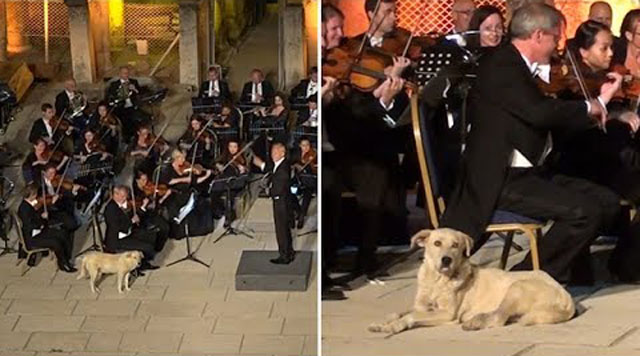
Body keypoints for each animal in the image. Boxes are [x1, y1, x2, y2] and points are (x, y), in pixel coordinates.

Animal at [368, 229, 576, 336]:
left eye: (455, 245)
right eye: (437, 243)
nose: (446, 260)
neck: (437, 281)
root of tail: (567, 297)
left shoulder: (447, 314)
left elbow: (410, 316)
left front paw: (394, 326)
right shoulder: (421, 306)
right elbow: (399, 312)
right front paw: (383, 323)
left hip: (517, 287)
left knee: (499, 318)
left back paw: (474, 323)